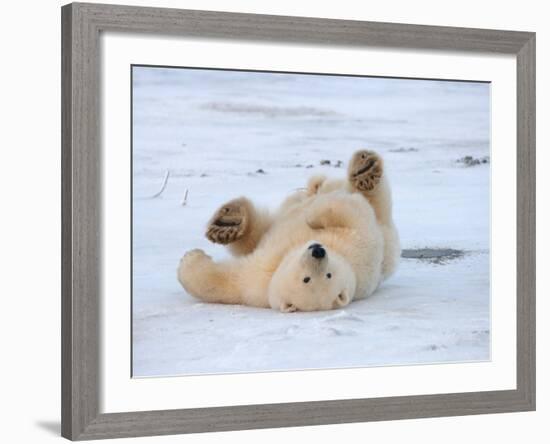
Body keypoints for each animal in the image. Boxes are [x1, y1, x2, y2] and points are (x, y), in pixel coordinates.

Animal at [180, 151, 402, 310]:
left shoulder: (361, 247)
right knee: (261, 228)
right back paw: (228, 223)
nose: (318, 251)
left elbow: (352, 212)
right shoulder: (259, 279)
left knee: (375, 201)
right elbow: (228, 281)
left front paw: (189, 259)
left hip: (386, 233)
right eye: (306, 278)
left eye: (328, 275)